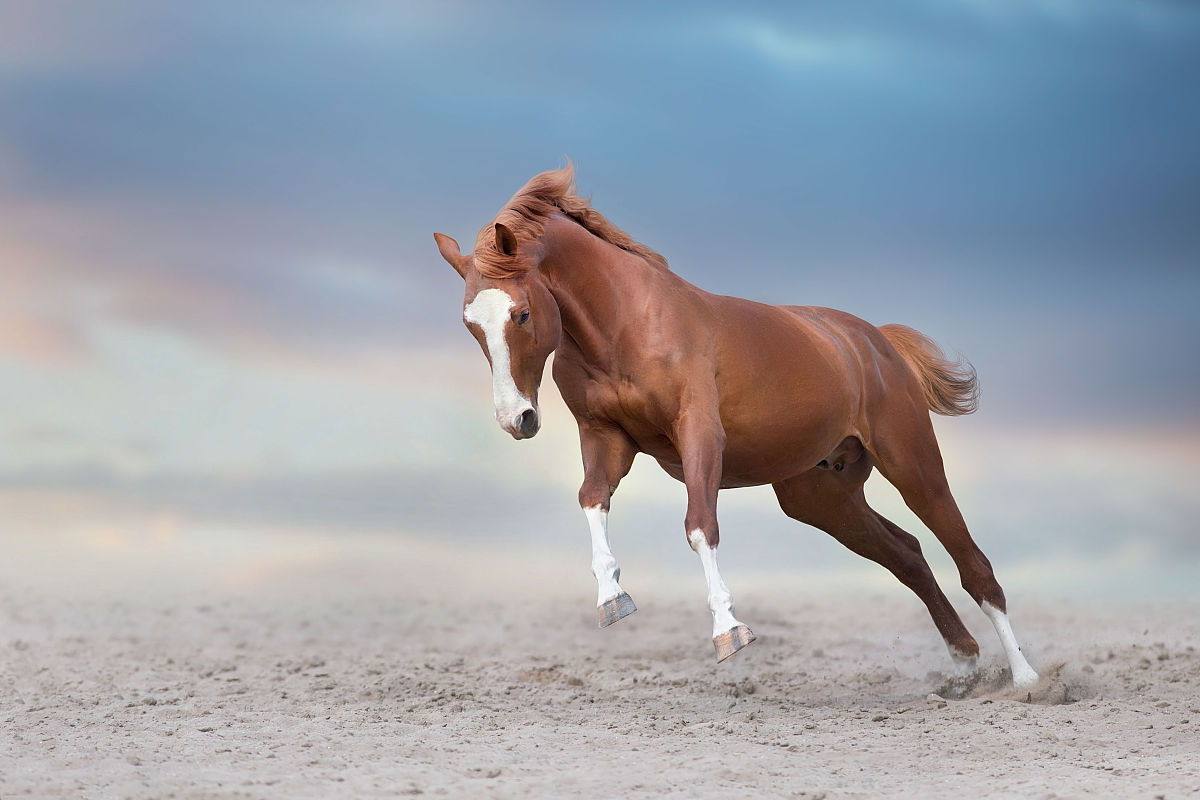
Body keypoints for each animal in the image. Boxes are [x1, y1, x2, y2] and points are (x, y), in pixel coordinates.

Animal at [434, 166, 1039, 688]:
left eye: (521, 314)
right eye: (470, 325)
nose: (516, 419)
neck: (626, 325)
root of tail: (875, 341)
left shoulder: (699, 434)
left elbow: (700, 525)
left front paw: (728, 631)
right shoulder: (605, 439)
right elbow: (591, 500)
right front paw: (611, 598)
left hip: (912, 464)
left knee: (971, 563)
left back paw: (1025, 677)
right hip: (820, 496)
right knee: (908, 554)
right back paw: (964, 665)